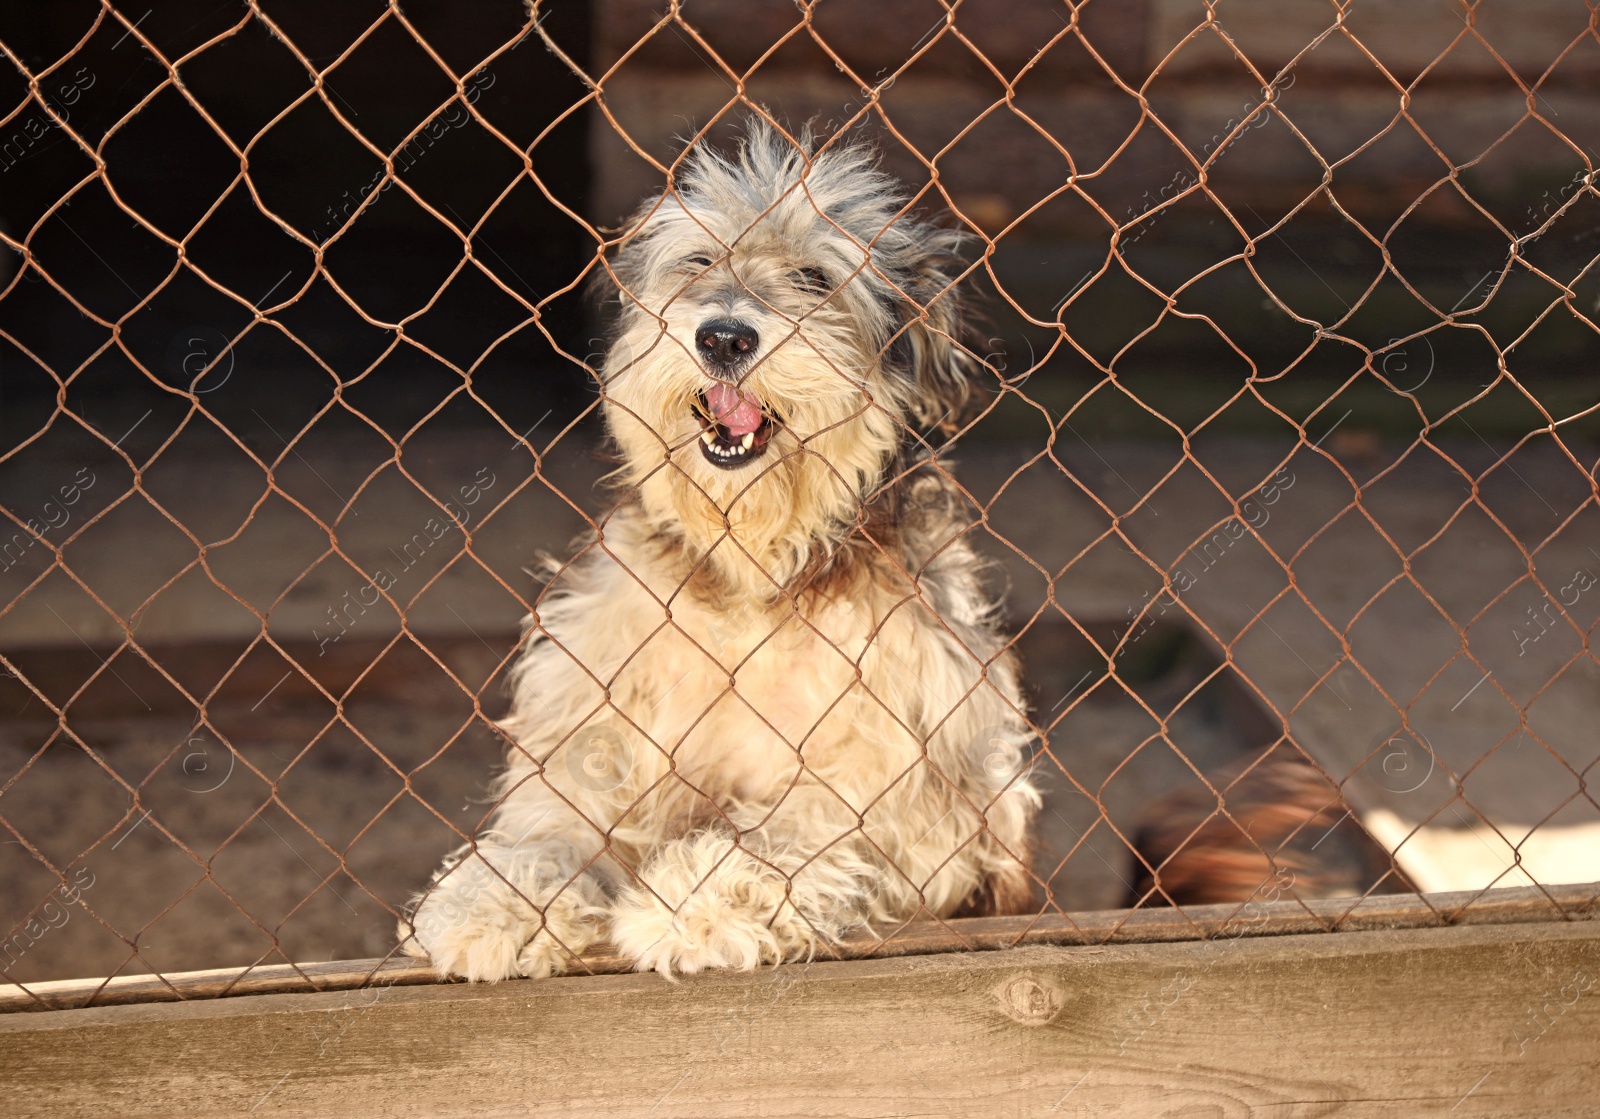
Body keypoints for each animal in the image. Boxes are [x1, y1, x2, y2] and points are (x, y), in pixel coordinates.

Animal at [400, 122, 1043, 979]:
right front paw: (494, 900)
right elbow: (553, 819)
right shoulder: (597, 722)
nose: (725, 335)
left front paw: (699, 899)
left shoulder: (928, 796)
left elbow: (802, 827)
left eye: (814, 277)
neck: (753, 581)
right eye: (699, 262)